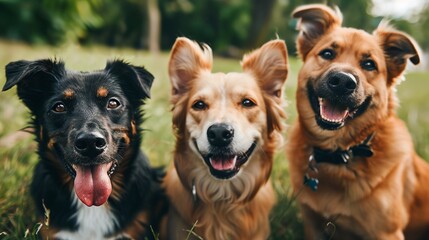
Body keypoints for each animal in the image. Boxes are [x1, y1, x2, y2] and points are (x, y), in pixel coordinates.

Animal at [286, 3, 429, 240]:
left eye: (369, 64)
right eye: (327, 53)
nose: (343, 82)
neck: (340, 155)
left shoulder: (387, 232)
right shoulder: (312, 224)